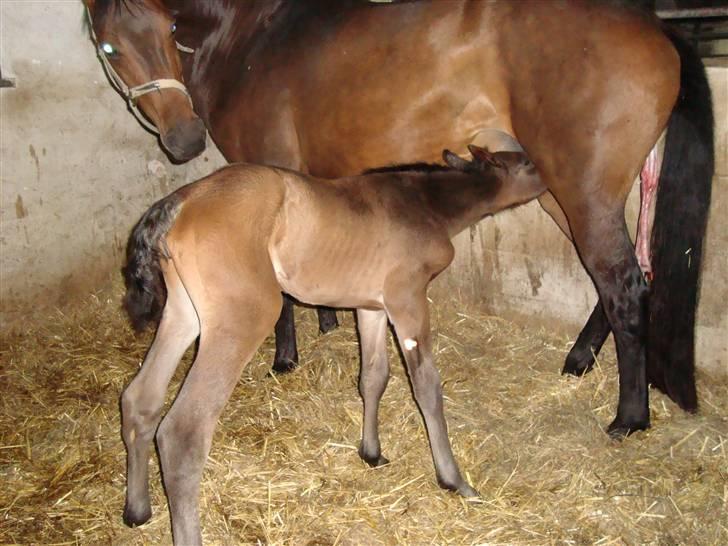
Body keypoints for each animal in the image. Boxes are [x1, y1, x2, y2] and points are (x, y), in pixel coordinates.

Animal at [121, 143, 540, 540]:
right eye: (527, 164)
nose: (549, 182)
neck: (423, 204)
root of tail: (180, 201)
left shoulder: (371, 307)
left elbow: (373, 377)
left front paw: (371, 452)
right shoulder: (407, 299)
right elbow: (426, 387)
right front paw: (453, 479)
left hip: (183, 313)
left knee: (140, 398)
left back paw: (137, 510)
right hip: (243, 318)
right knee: (183, 432)